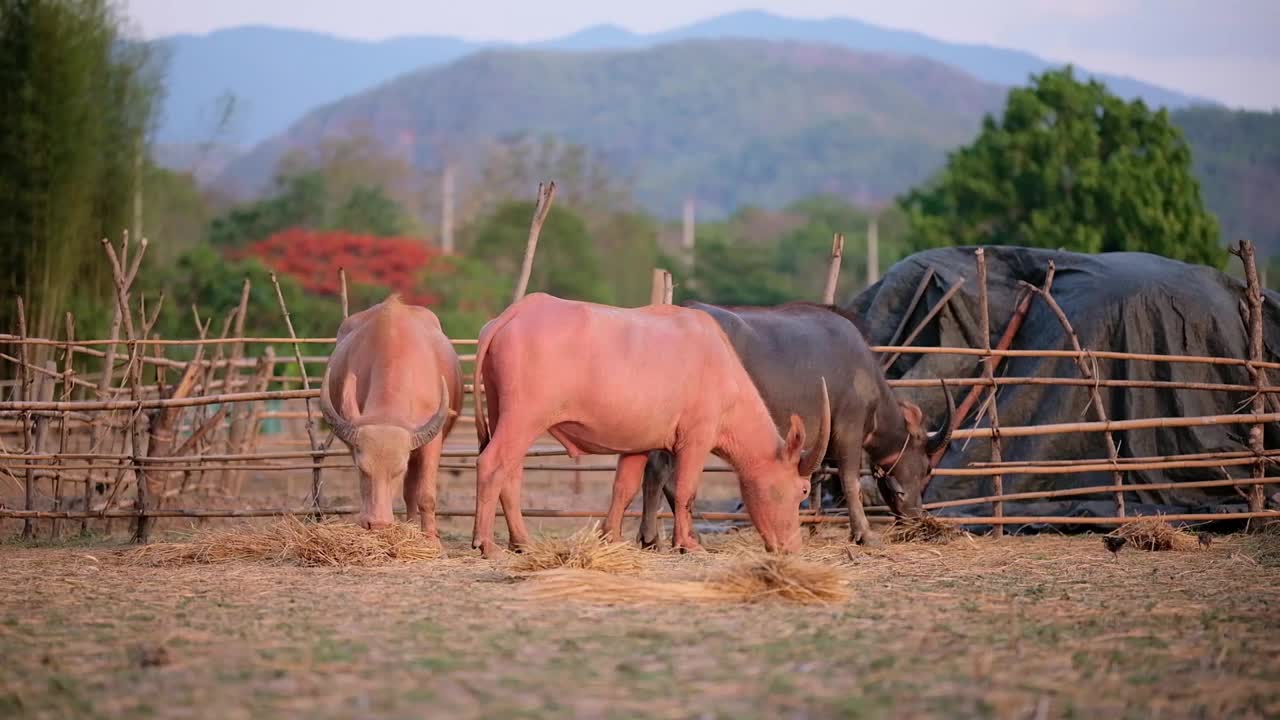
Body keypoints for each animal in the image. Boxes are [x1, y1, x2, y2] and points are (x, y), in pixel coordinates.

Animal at [317, 294, 463, 540]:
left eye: (397, 471)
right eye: (362, 469)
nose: (377, 524)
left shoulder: (431, 442)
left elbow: (425, 494)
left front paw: (432, 540)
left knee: (412, 491)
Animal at [471, 289, 829, 556]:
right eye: (802, 489)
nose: (792, 549)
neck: (720, 365)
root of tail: (517, 312)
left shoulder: (637, 445)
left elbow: (625, 488)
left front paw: (612, 537)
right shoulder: (696, 440)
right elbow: (685, 491)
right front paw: (686, 543)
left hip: (504, 412)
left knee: (511, 473)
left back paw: (522, 541)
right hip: (524, 418)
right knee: (492, 463)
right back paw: (486, 543)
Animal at [632, 301, 952, 543]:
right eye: (927, 466)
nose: (915, 515)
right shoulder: (849, 428)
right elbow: (851, 482)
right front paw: (864, 534)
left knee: (656, 470)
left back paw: (653, 538)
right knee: (670, 477)